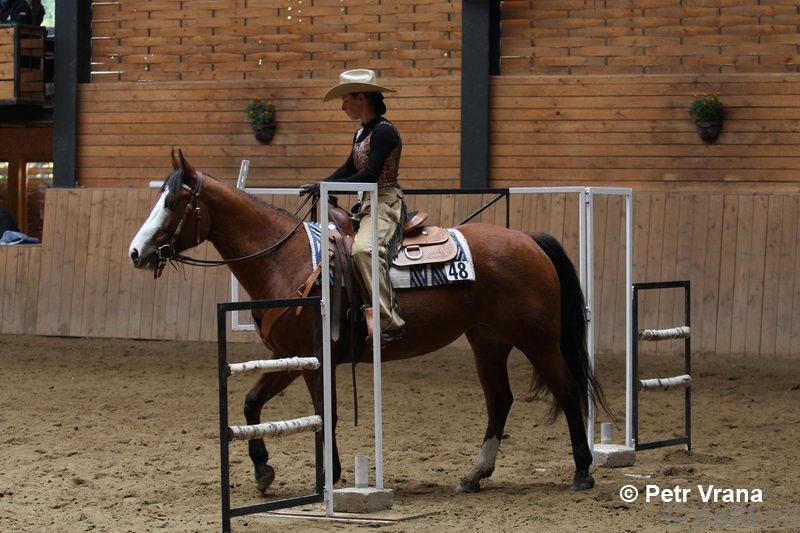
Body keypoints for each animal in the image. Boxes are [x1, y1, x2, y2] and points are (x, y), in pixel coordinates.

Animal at [129, 151, 606, 495]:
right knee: (500, 400)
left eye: (172, 202)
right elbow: (251, 403)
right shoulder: (288, 356)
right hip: (488, 341)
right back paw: (475, 476)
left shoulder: (312, 357)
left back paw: (582, 471)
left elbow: (325, 413)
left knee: (566, 389)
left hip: (538, 340)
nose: (136, 252)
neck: (286, 259)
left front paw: (329, 474)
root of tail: (530, 240)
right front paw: (265, 470)